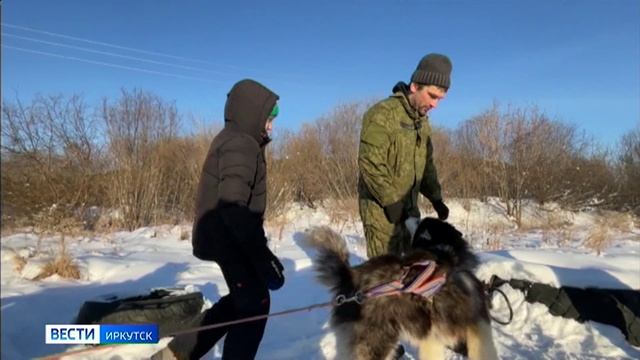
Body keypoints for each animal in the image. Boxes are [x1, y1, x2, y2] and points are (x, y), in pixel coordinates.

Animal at [306, 217, 500, 360]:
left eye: (420, 221)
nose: (408, 216)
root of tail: (349, 275)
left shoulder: (432, 338)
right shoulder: (479, 328)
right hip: (376, 343)